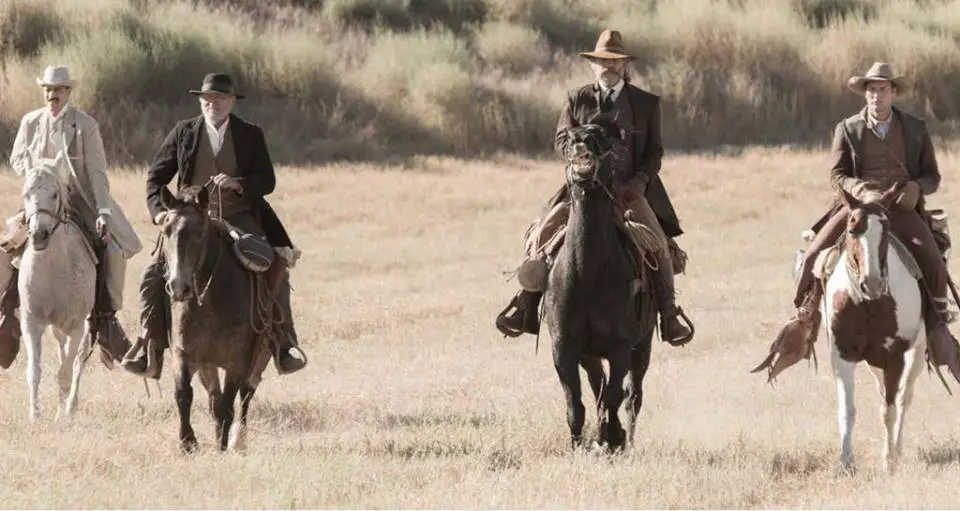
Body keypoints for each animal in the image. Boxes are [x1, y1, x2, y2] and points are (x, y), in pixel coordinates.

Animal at [19, 163, 96, 420]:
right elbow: (34, 371)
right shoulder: (31, 321)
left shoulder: (76, 326)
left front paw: (64, 417)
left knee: (78, 361)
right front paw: (35, 415)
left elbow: (66, 373)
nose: (38, 234)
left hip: (86, 325)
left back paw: (70, 407)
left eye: (54, 194)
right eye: (26, 193)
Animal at [544, 117, 656, 452]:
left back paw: (624, 438)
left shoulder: (621, 347)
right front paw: (580, 444)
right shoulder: (565, 349)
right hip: (590, 355)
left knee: (632, 395)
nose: (583, 157)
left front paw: (613, 437)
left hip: (643, 345)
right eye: (569, 141)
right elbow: (576, 403)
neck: (586, 275)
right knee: (598, 386)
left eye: (603, 141)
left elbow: (615, 396)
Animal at [820, 186, 928, 474]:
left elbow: (889, 409)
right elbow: (847, 410)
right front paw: (845, 462)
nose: (873, 283)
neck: (868, 303)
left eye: (886, 228)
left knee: (904, 398)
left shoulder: (895, 357)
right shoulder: (843, 356)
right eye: (851, 227)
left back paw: (897, 450)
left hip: (917, 352)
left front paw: (889, 461)